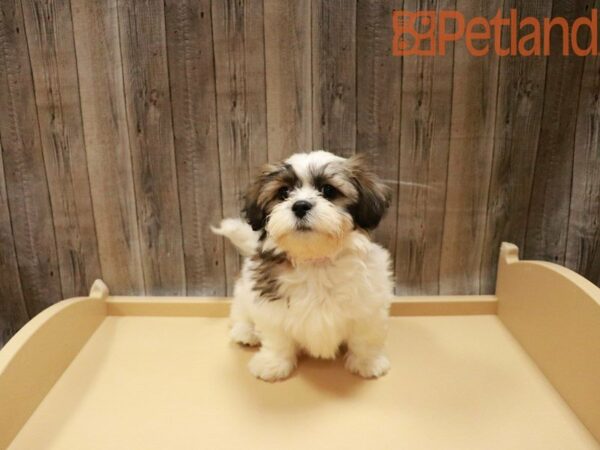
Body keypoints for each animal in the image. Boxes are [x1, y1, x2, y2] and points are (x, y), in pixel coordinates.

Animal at [212, 150, 394, 380]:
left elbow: (365, 336)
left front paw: (367, 362)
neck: (315, 261)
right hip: (245, 291)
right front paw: (273, 363)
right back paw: (246, 331)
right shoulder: (271, 309)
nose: (300, 205)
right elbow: (277, 338)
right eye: (283, 192)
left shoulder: (369, 304)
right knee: (240, 311)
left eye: (328, 190)